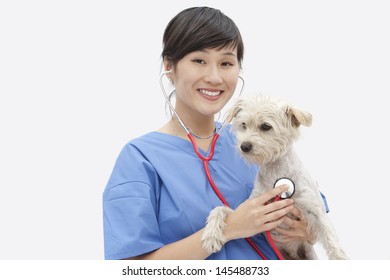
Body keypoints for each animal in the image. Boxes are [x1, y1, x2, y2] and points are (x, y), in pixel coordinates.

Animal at [203, 95, 348, 260]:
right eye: (244, 125)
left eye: (266, 126)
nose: (244, 146)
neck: (276, 174)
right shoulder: (250, 216)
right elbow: (220, 209)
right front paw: (211, 235)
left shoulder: (315, 210)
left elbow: (331, 238)